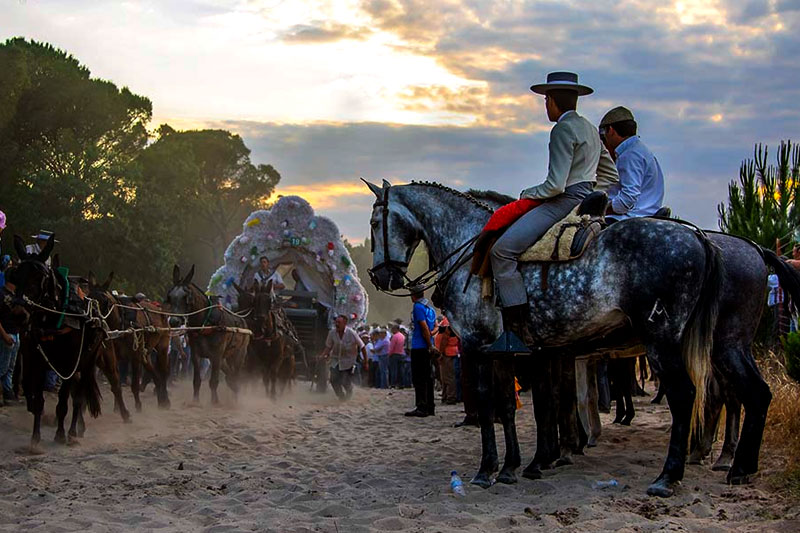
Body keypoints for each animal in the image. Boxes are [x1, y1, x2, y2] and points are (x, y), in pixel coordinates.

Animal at [8, 237, 104, 448]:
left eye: (39, 276)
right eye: (16, 274)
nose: (19, 314)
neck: (53, 319)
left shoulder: (68, 365)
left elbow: (63, 402)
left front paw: (61, 434)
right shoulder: (36, 360)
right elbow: (37, 400)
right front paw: (35, 438)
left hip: (87, 361)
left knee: (79, 396)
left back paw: (74, 431)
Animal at [165, 264, 247, 406]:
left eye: (186, 297)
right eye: (170, 296)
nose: (174, 321)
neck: (205, 323)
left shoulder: (217, 354)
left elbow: (213, 381)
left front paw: (214, 401)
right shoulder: (196, 354)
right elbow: (197, 380)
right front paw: (195, 401)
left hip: (239, 354)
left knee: (236, 374)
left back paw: (235, 398)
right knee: (229, 373)